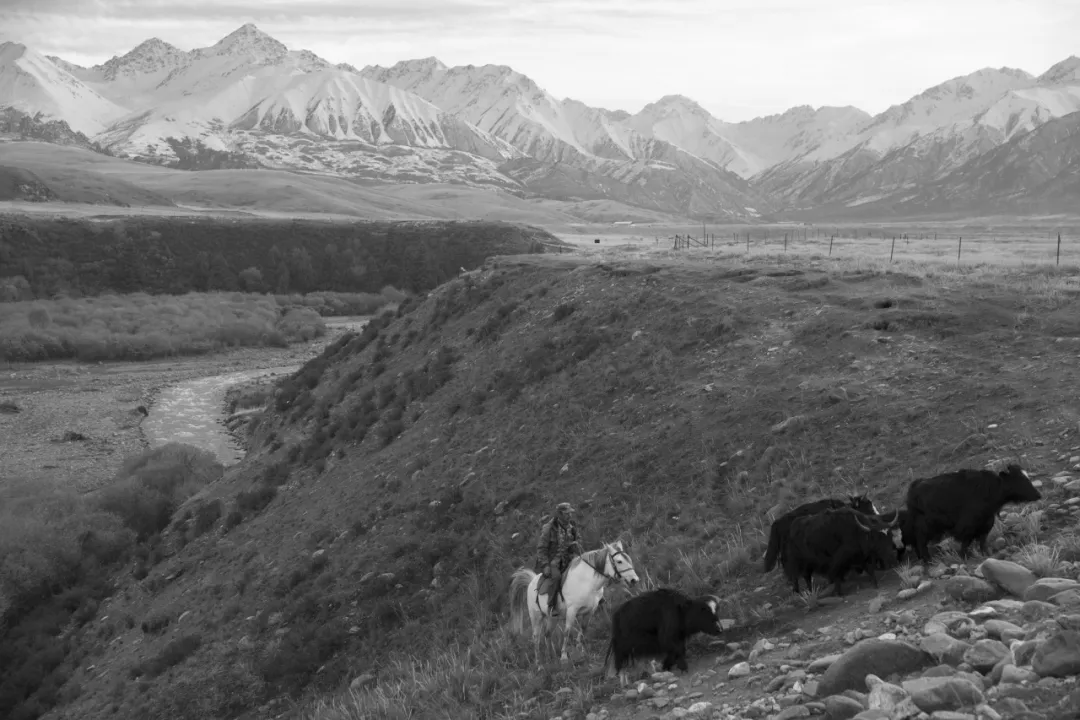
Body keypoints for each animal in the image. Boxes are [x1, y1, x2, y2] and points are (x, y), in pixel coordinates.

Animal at [507, 539, 635, 664]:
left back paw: (551, 657)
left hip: (552, 617)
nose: (634, 580)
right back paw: (539, 664)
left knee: (547, 634)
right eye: (619, 561)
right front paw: (564, 657)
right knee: (536, 638)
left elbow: (583, 629)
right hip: (536, 617)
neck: (586, 582)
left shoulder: (590, 610)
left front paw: (580, 649)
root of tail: (532, 581)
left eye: (628, 558)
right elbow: (567, 632)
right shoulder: (572, 610)